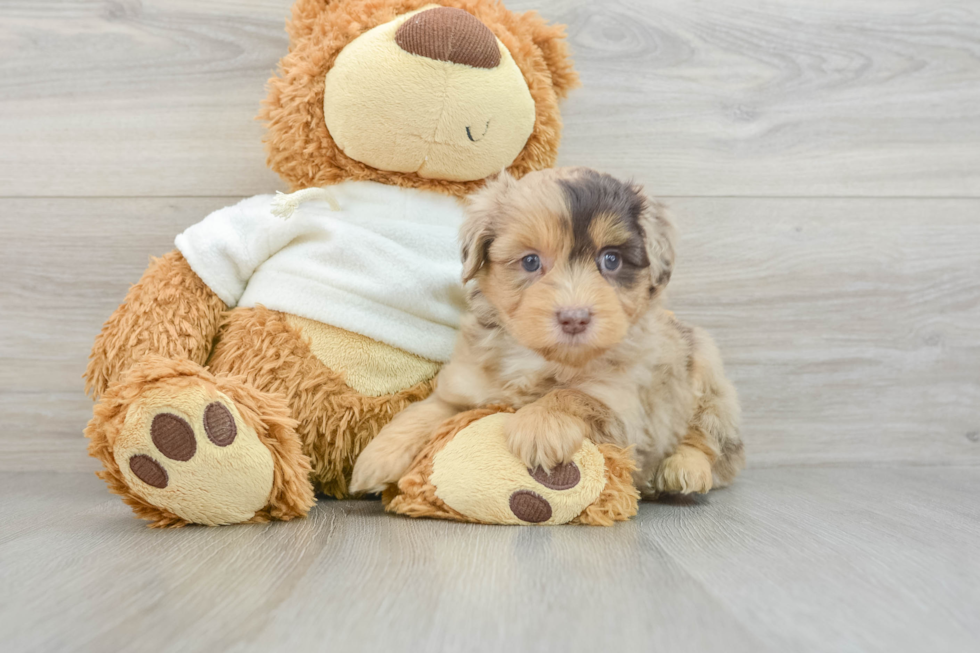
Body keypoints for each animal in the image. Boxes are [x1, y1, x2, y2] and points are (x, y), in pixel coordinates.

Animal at [352, 167, 744, 494]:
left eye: (611, 260)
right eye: (530, 261)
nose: (574, 318)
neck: (540, 358)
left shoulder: (627, 409)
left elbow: (574, 395)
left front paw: (538, 425)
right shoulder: (463, 386)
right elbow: (425, 411)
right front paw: (377, 456)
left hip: (706, 378)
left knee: (711, 442)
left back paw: (685, 469)